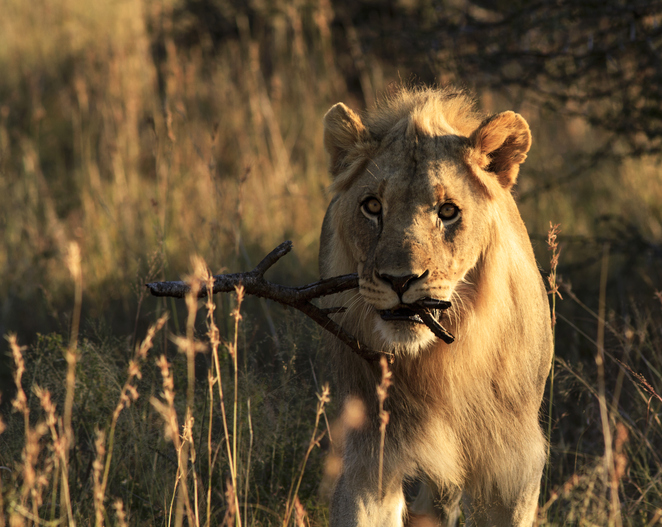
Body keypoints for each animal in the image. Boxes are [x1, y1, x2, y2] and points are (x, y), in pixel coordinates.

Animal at [318, 86, 553, 526]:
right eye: (372, 207)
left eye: (448, 212)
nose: (399, 280)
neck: (442, 363)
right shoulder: (370, 451)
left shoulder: (516, 464)